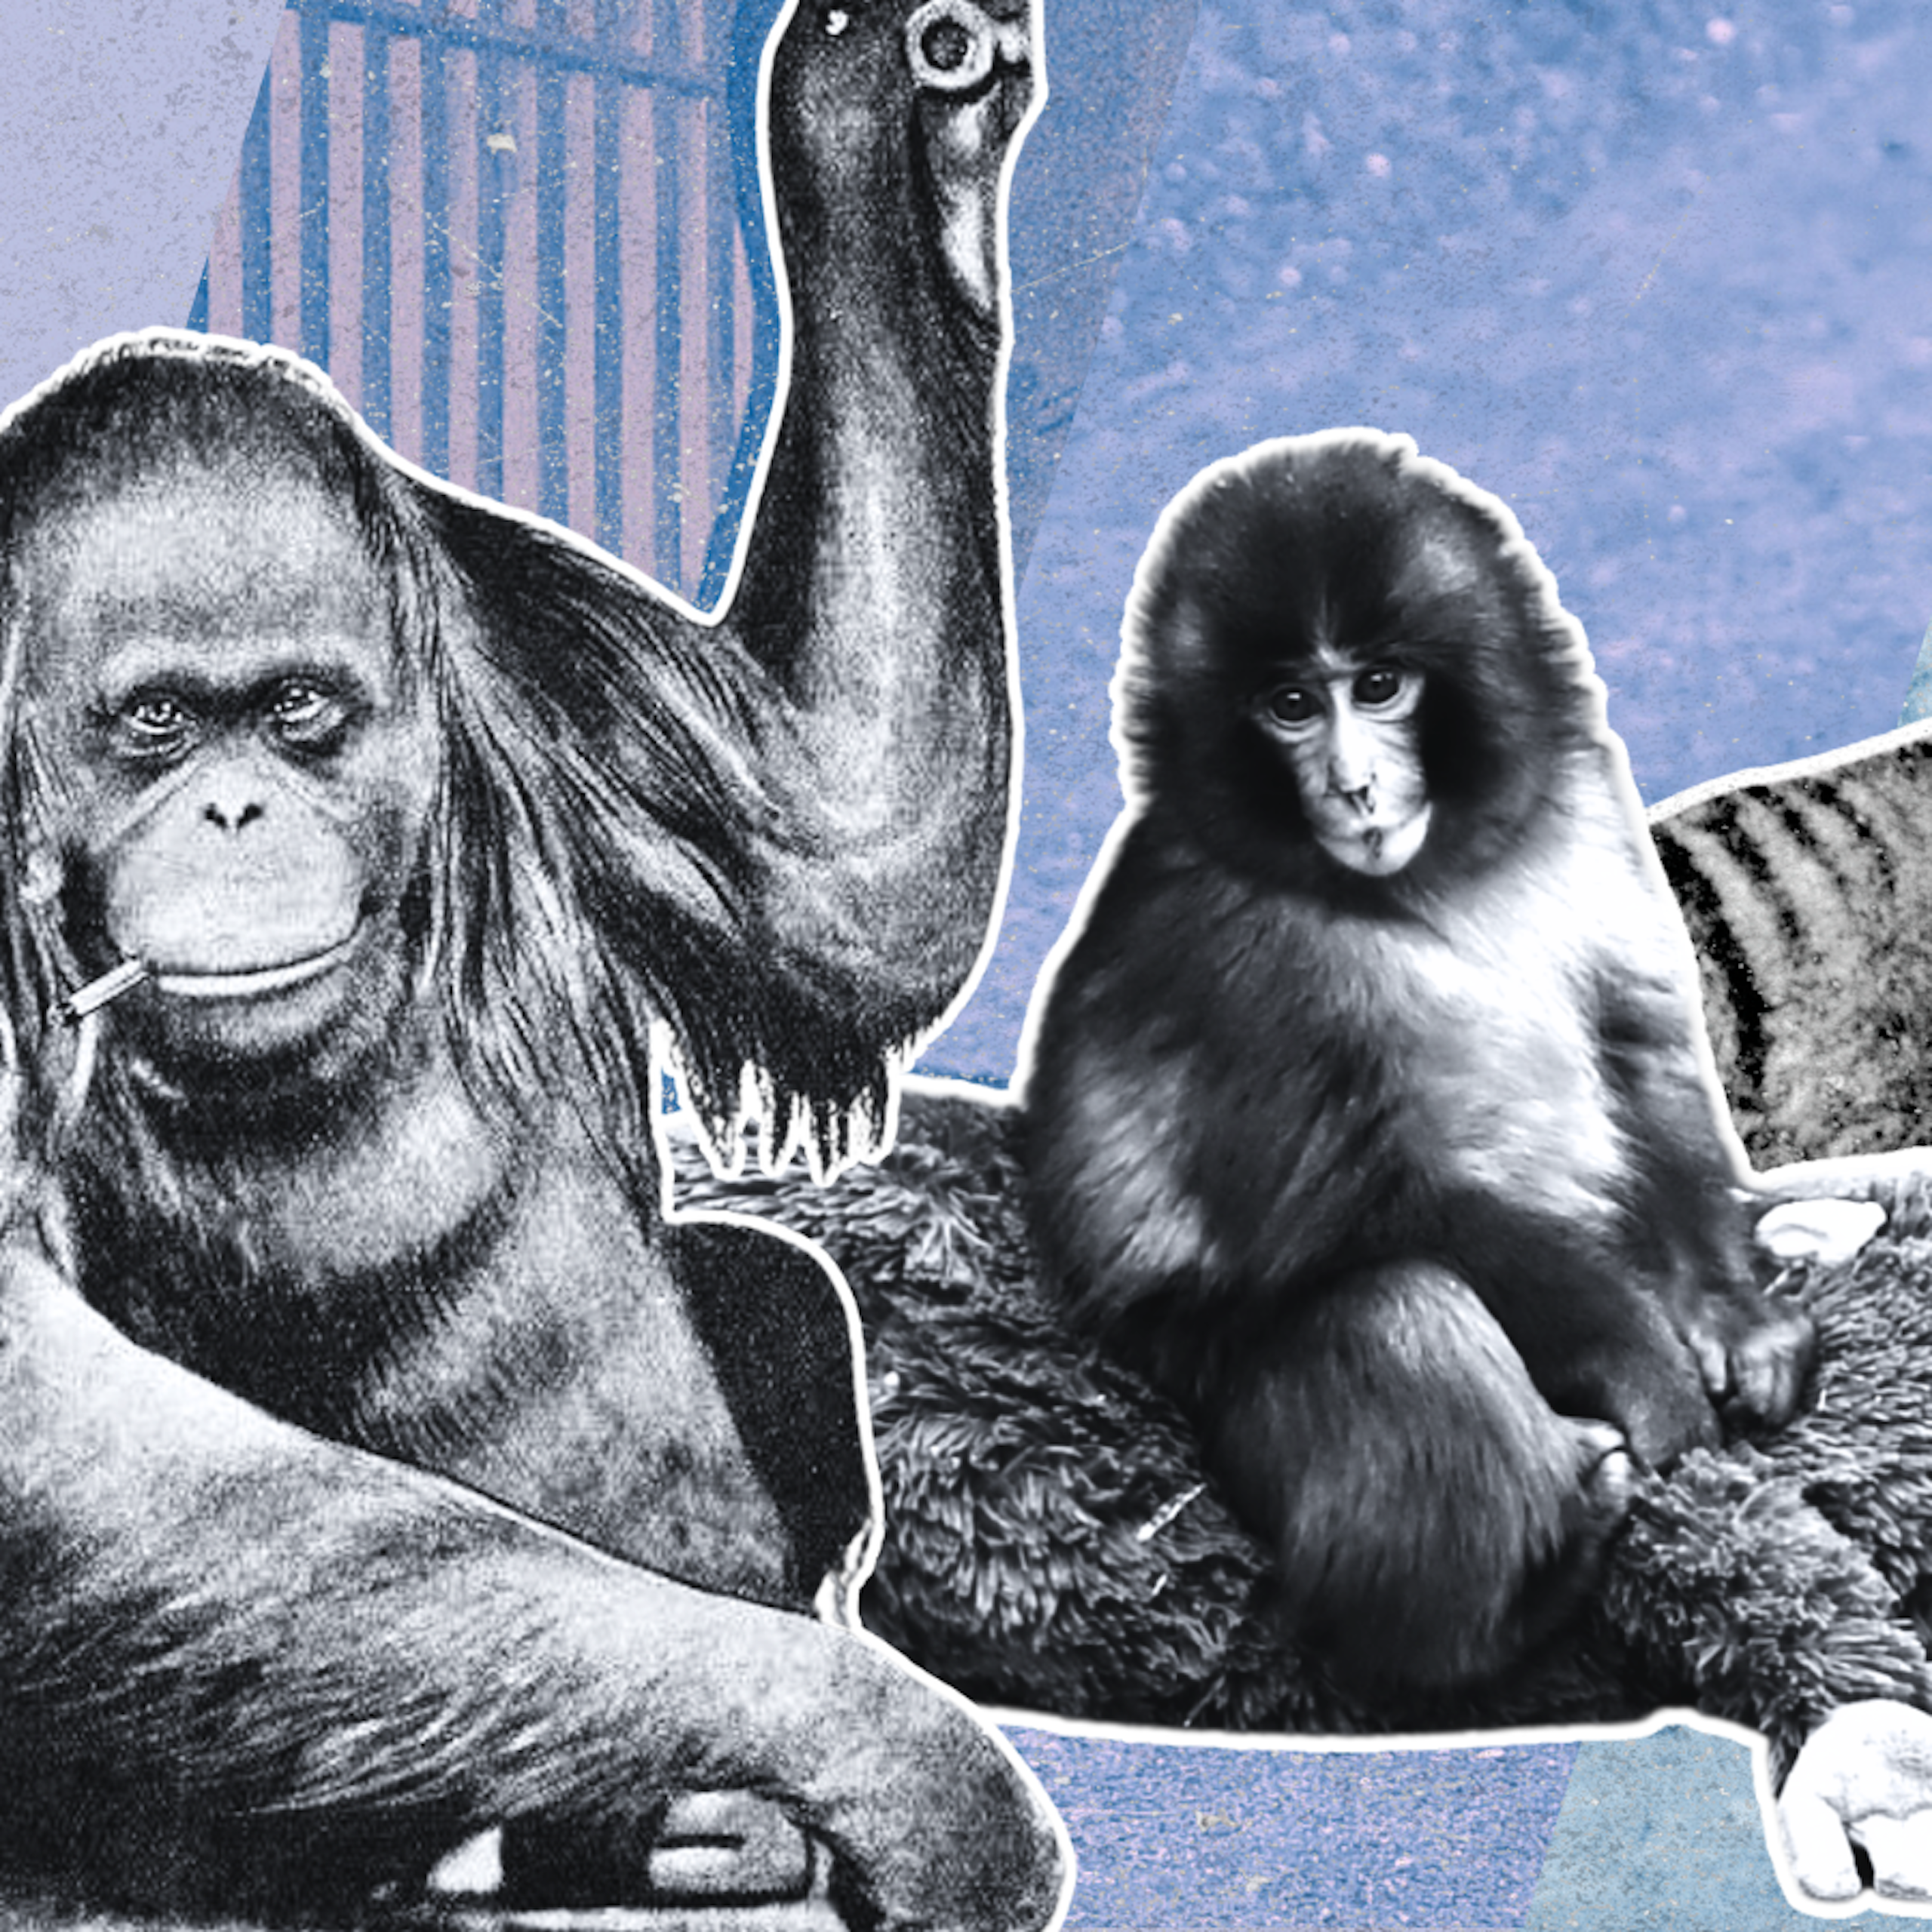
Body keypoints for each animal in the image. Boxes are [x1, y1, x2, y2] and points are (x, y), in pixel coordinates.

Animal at [0, 0, 1070, 1921]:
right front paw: (907, 1766)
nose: (236, 812)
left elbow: (850, 856)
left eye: (296, 711)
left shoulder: (534, 640)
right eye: (158, 727)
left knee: (769, 1285)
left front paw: (898, 126)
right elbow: (46, 1428)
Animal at [1019, 429, 1817, 1693]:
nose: (1353, 785)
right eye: (1291, 705)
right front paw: (1656, 1382)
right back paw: (1505, 1604)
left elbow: (1637, 1051)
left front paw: (1734, 1319)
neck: (1428, 878)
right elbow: (1387, 1203)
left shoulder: (1584, 799)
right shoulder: (1246, 958)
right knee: (1393, 1309)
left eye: (1380, 687)